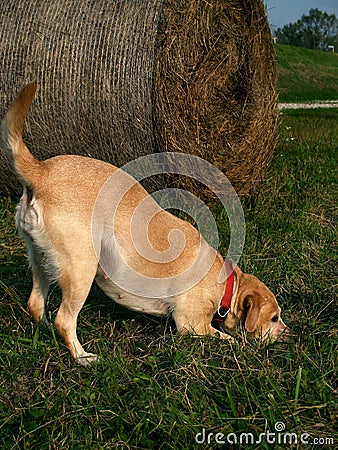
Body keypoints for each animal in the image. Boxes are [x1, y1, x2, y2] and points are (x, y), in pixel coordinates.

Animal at [1, 81, 290, 366]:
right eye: (274, 318)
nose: (289, 334)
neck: (227, 285)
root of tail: (40, 171)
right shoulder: (192, 325)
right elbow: (228, 339)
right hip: (81, 269)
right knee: (64, 320)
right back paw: (82, 356)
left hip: (41, 260)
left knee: (35, 305)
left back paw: (46, 333)